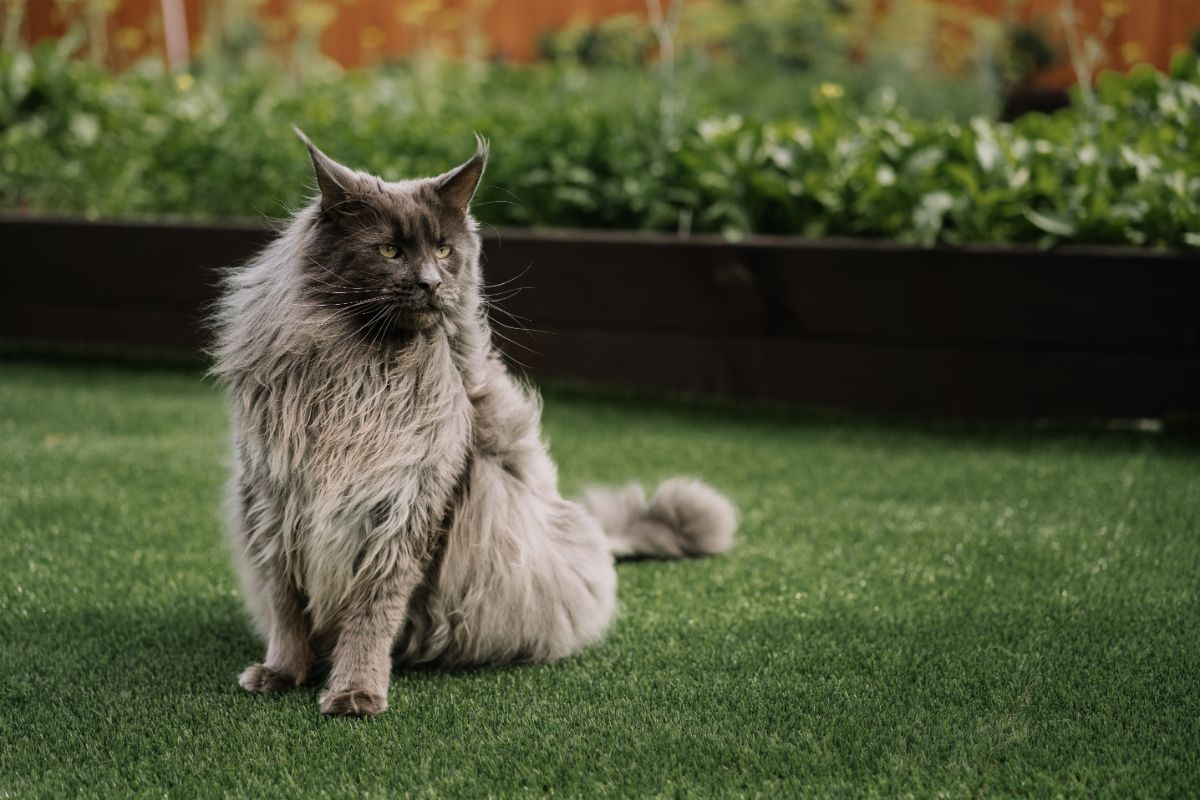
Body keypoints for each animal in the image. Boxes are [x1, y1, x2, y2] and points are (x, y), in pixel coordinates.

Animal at [213, 131, 739, 719]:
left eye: (443, 250)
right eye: (390, 250)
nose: (429, 282)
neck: (364, 371)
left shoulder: (407, 505)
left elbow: (372, 612)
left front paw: (355, 691)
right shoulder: (274, 501)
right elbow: (286, 605)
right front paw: (284, 671)